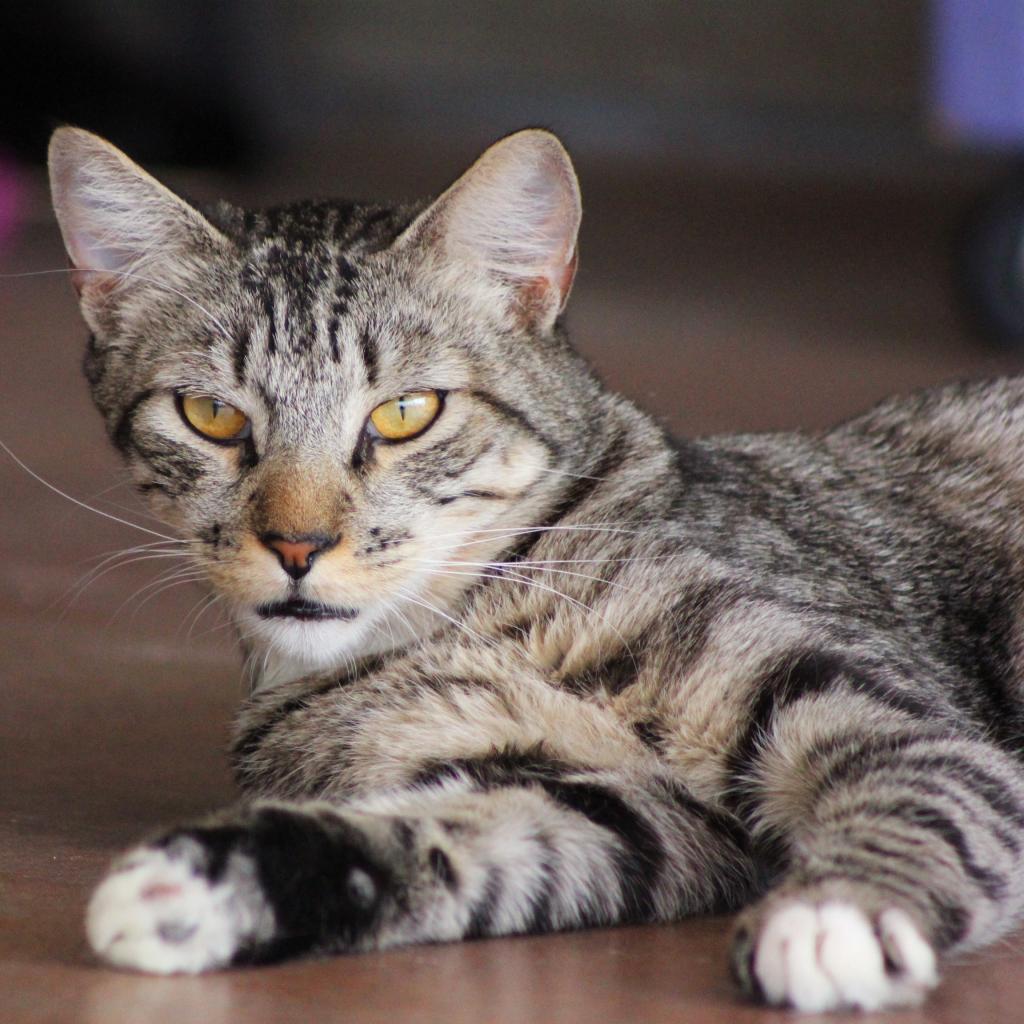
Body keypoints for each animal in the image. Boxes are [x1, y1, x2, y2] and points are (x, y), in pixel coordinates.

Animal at [49, 123, 1024, 1011]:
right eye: (210, 415)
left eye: (407, 412)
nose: (297, 546)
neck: (471, 621)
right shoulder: (631, 817)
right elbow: (453, 843)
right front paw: (206, 887)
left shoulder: (869, 702)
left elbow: (919, 788)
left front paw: (839, 911)